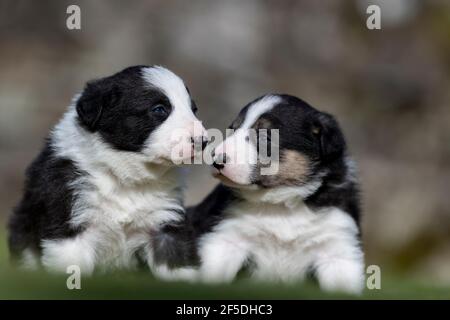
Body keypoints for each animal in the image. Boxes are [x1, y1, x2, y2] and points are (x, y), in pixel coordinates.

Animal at [7, 65, 207, 276]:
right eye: (159, 109)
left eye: (193, 109)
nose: (203, 141)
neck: (126, 177)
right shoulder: (69, 229)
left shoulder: (166, 226)